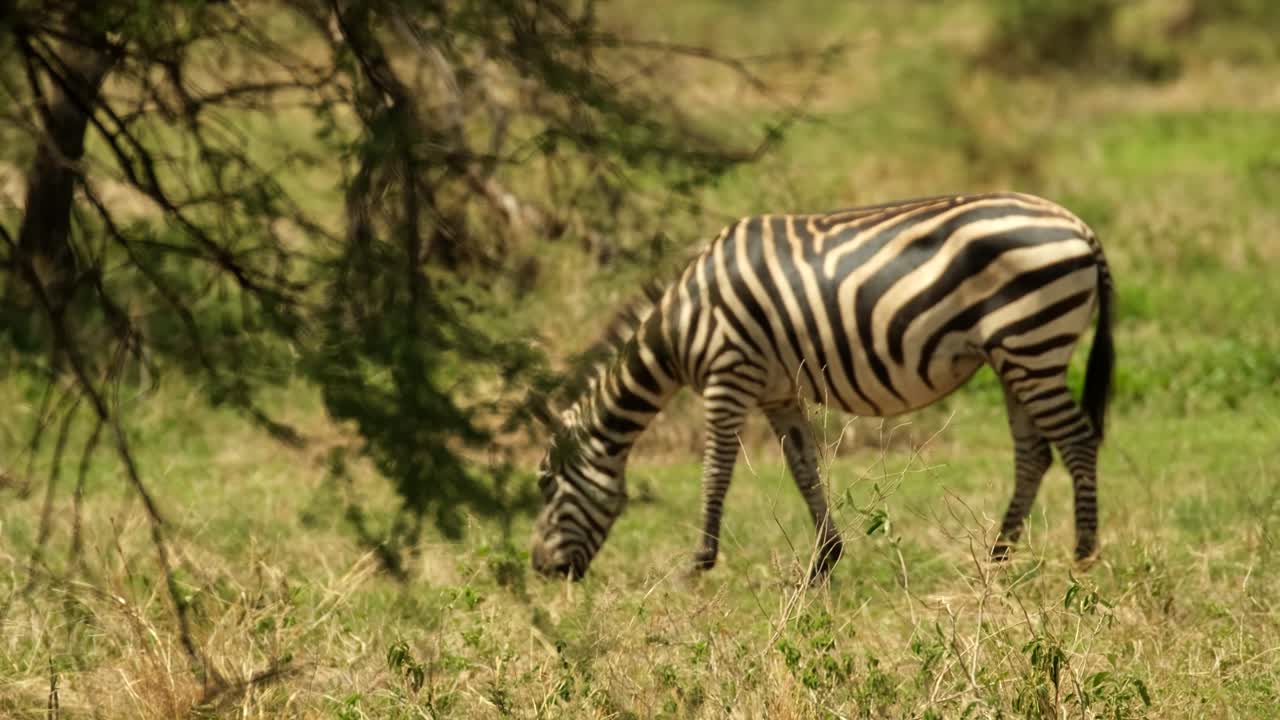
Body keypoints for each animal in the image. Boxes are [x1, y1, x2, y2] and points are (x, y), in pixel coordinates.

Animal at [530, 192, 1114, 581]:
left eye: (545, 484)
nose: (540, 569)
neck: (680, 326)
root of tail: (1079, 226)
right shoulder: (776, 391)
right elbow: (803, 468)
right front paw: (824, 562)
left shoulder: (728, 375)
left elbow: (716, 473)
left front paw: (698, 565)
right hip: (1016, 356)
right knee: (1034, 453)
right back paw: (997, 557)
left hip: (1032, 342)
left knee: (1077, 441)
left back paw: (1082, 556)